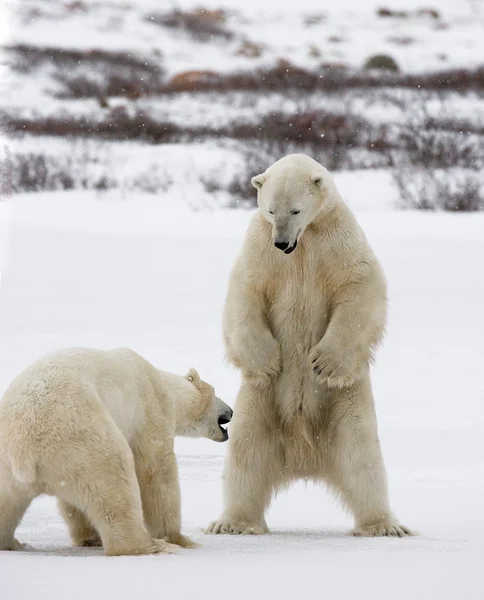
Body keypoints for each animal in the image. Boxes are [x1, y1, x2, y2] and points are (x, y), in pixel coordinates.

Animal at [0, 350, 233, 556]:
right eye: (215, 393)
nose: (231, 411)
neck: (163, 382)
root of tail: (23, 448)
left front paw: (89, 537)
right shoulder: (152, 409)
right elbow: (156, 470)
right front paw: (179, 538)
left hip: (9, 466)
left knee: (7, 504)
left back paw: (12, 543)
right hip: (82, 441)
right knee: (114, 483)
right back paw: (151, 545)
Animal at [206, 155, 414, 540]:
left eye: (297, 210)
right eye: (271, 210)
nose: (282, 242)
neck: (304, 244)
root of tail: (305, 459)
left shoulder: (339, 240)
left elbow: (359, 285)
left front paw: (323, 362)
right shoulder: (259, 247)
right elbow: (245, 291)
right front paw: (269, 360)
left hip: (347, 402)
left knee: (363, 459)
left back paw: (384, 525)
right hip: (259, 401)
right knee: (245, 454)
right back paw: (233, 523)